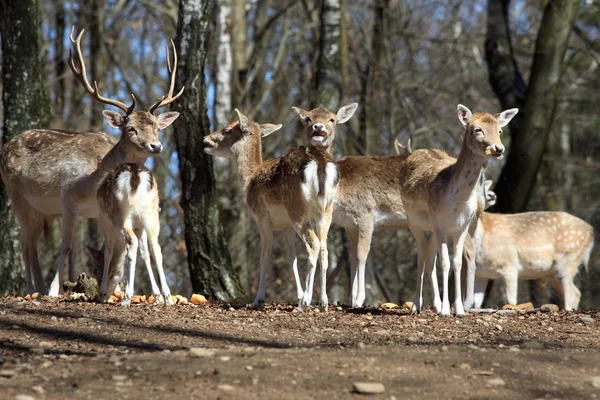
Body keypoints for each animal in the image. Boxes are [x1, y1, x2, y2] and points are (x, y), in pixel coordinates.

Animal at [0, 26, 183, 296]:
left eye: (157, 129)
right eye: (130, 128)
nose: (156, 146)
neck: (93, 177)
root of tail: (5, 146)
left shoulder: (101, 212)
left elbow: (112, 246)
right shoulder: (67, 200)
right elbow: (66, 246)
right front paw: (55, 290)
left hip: (42, 209)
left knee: (31, 240)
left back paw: (39, 287)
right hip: (16, 195)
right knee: (25, 242)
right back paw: (32, 288)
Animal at [204, 111, 338, 310]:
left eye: (227, 130)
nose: (206, 139)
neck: (249, 180)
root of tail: (320, 163)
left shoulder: (261, 217)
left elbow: (264, 255)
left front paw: (258, 299)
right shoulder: (285, 225)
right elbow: (291, 256)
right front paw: (298, 295)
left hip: (296, 209)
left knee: (313, 244)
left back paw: (304, 304)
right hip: (326, 210)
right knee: (324, 248)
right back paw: (323, 302)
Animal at [396, 105, 516, 316]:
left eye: (500, 130)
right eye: (477, 129)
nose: (498, 148)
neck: (456, 201)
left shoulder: (462, 226)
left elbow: (457, 262)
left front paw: (458, 309)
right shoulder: (439, 223)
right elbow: (444, 263)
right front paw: (445, 310)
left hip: (433, 229)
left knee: (429, 259)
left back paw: (434, 305)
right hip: (414, 222)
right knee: (421, 257)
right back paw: (416, 305)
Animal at [462, 180, 592, 310]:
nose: (491, 195)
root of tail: (591, 231)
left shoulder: (510, 265)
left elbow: (511, 301)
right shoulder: (482, 274)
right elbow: (477, 303)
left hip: (569, 260)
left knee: (571, 294)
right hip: (553, 273)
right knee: (576, 293)